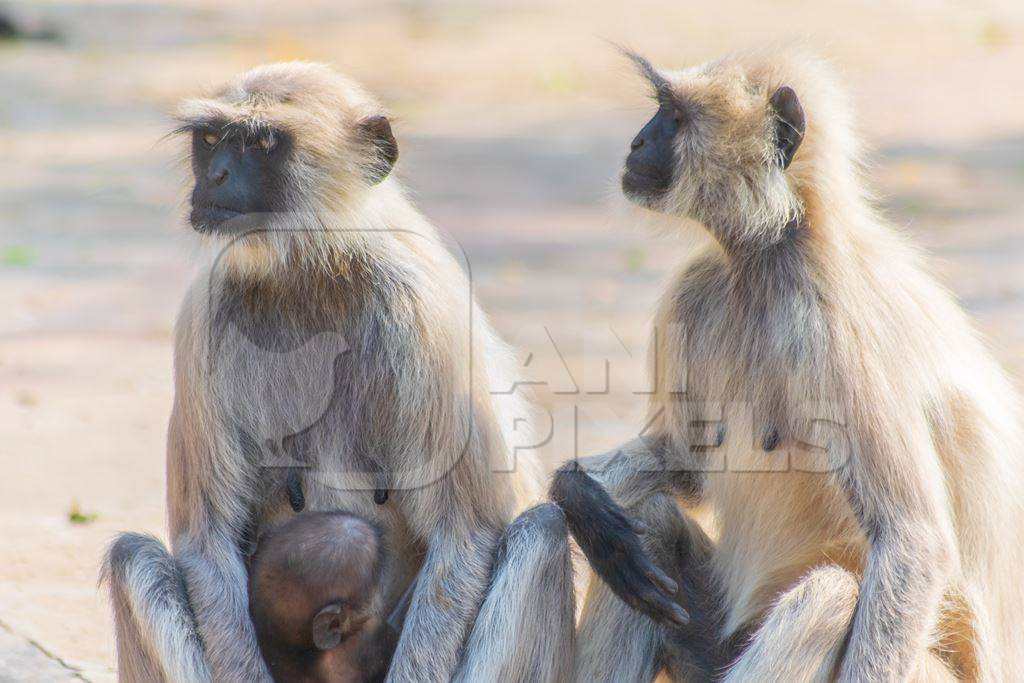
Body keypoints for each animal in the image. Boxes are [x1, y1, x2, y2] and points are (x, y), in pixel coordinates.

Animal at [552, 49, 1024, 683]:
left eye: (673, 117)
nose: (636, 142)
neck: (775, 253)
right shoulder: (696, 291)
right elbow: (684, 461)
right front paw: (578, 496)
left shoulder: (836, 320)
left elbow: (912, 540)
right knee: (652, 526)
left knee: (830, 595)